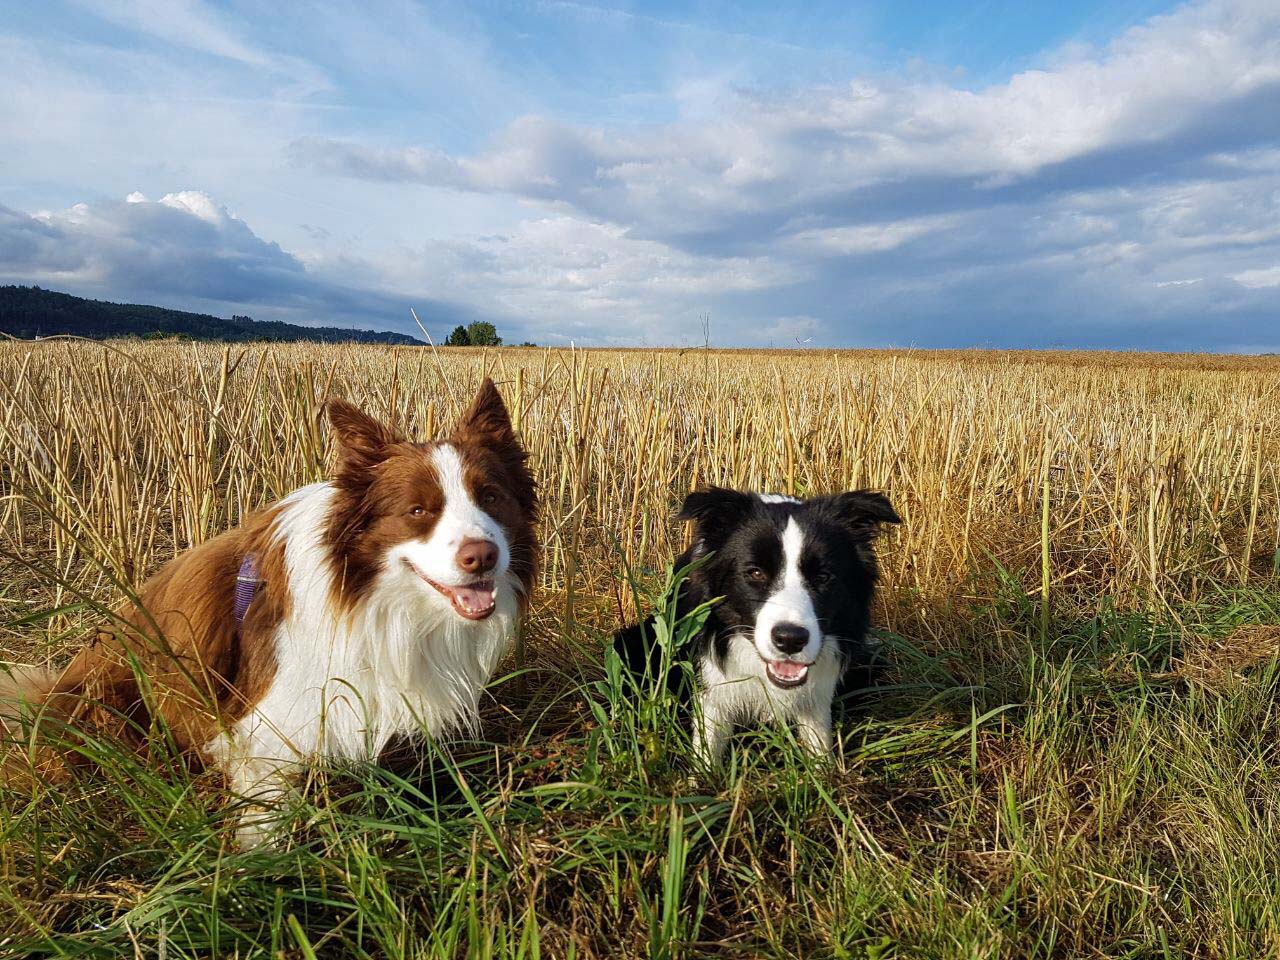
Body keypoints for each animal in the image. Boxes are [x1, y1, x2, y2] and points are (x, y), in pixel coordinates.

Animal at [0, 378, 535, 844]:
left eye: (491, 496)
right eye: (419, 511)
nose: (482, 556)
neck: (367, 595)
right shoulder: (265, 727)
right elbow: (266, 805)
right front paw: (267, 859)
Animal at [611, 488, 901, 768]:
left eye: (823, 577)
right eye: (756, 573)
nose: (790, 639)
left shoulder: (818, 692)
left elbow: (819, 741)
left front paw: (824, 775)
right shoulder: (713, 686)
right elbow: (708, 746)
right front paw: (702, 779)